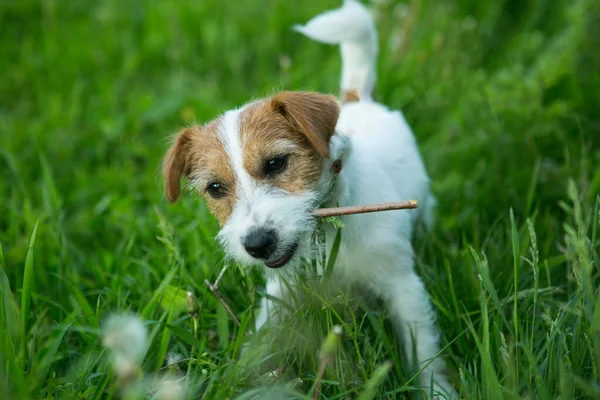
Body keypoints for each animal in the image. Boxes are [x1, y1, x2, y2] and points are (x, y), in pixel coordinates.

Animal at [162, 0, 452, 396]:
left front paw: (439, 391)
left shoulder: (403, 288)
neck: (326, 234)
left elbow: (423, 353)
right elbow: (259, 347)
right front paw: (237, 380)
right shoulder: (280, 297)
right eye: (215, 188)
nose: (257, 244)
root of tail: (357, 99)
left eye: (276, 163)